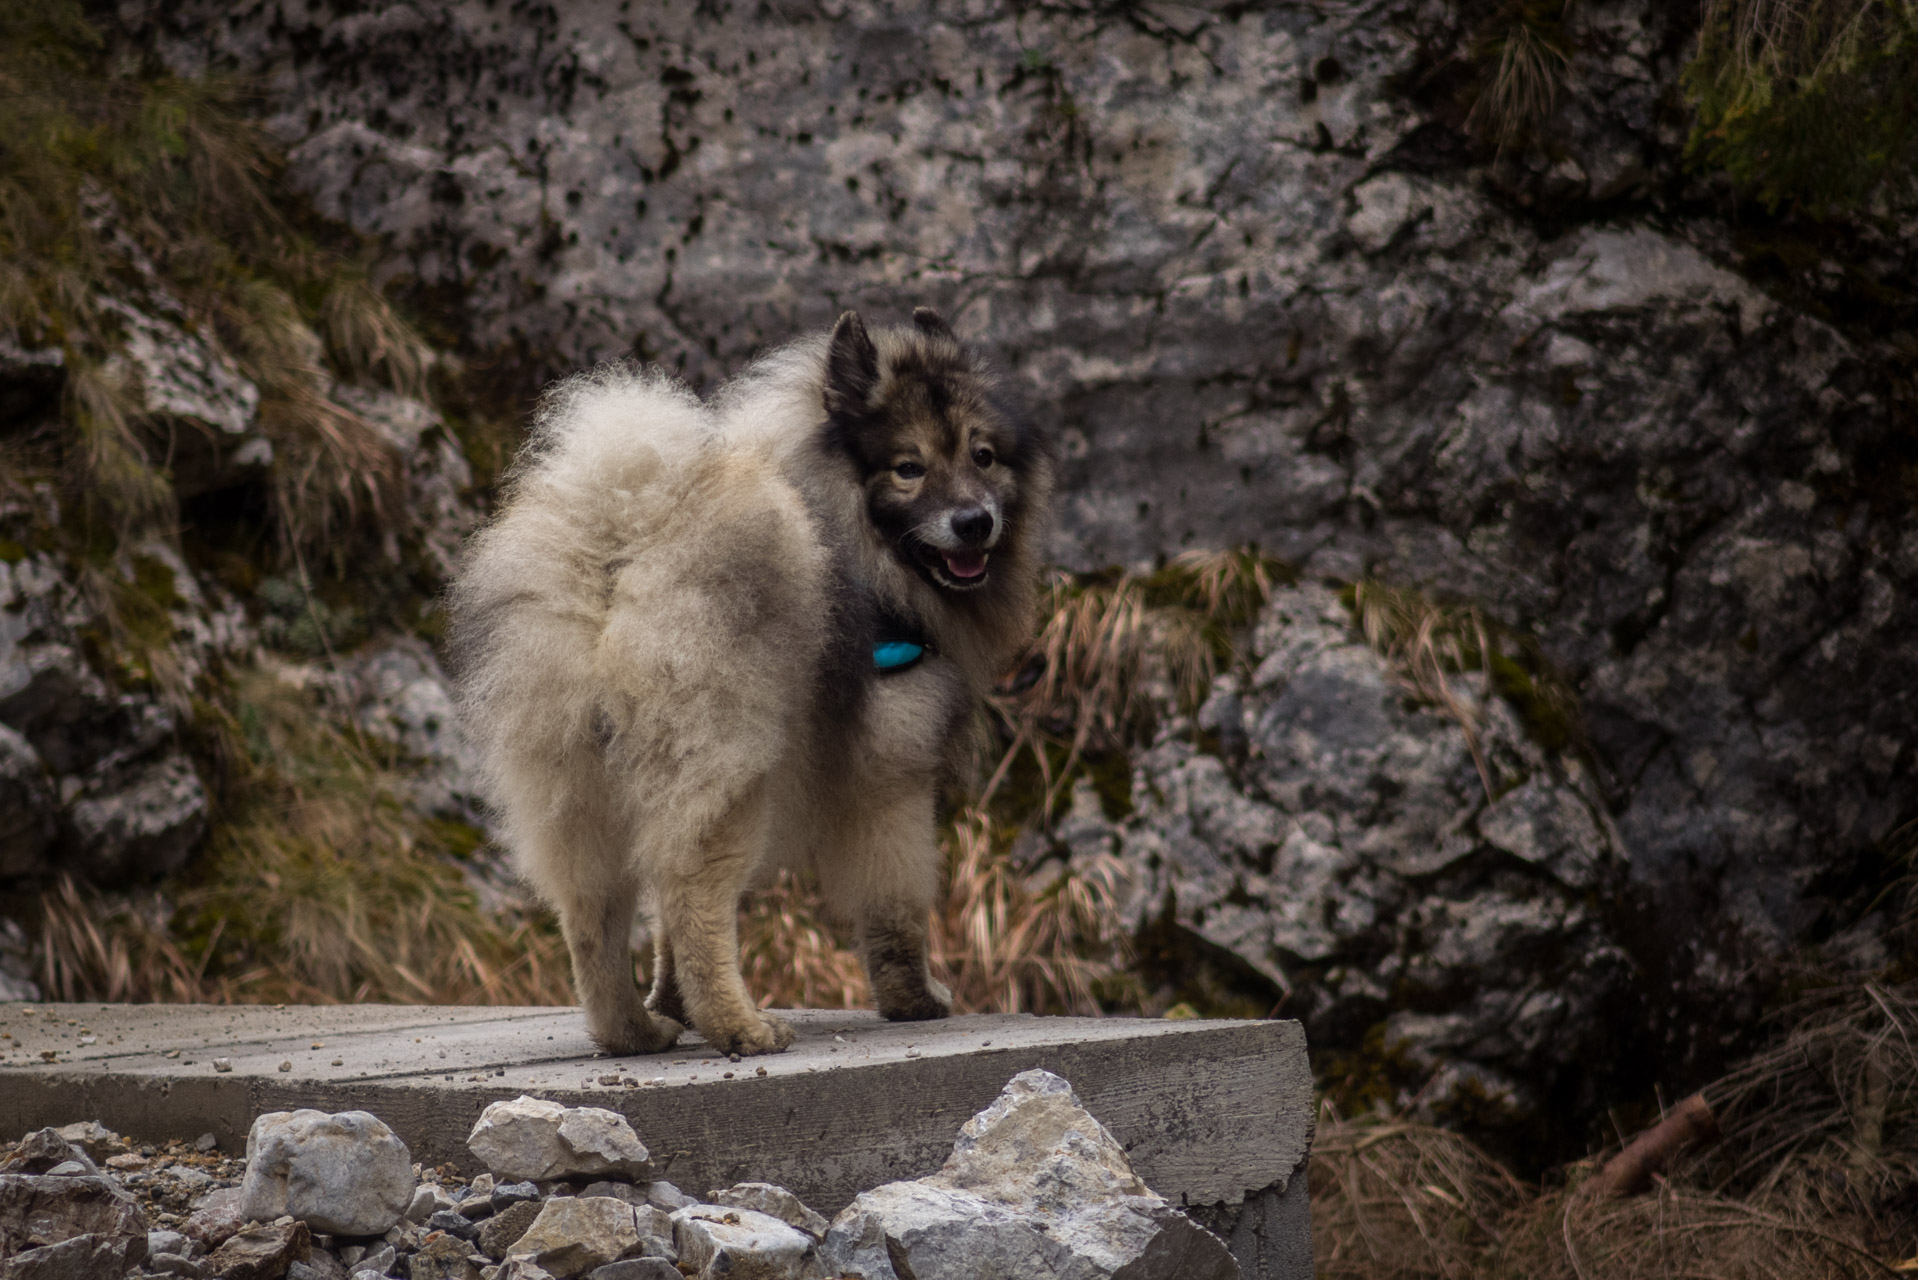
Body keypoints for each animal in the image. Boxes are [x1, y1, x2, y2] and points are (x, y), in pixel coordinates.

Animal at [444, 305, 1051, 1059]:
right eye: (908, 468)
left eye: (983, 456)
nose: (975, 521)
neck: (851, 532)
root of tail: (620, 542)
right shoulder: (892, 777)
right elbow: (897, 904)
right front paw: (916, 1000)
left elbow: (658, 939)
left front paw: (669, 1000)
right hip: (724, 771)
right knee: (692, 898)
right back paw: (742, 1026)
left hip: (576, 786)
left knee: (593, 914)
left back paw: (634, 1031)